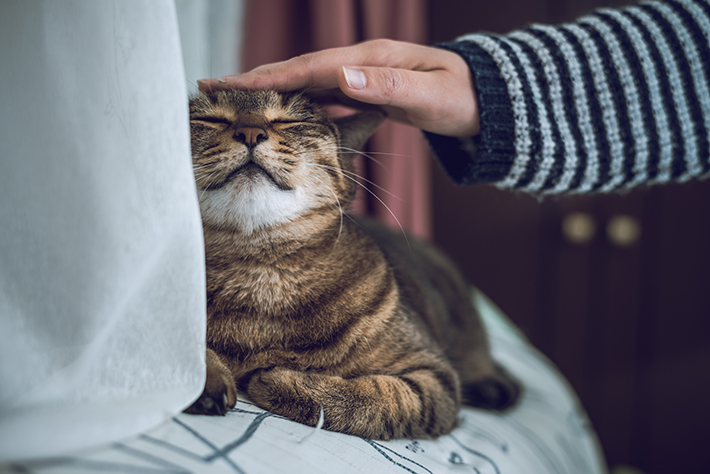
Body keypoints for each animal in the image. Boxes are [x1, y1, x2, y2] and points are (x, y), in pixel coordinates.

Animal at [182, 90, 524, 440]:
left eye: (291, 120)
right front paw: (206, 375)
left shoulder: (434, 376)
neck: (259, 275)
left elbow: (375, 400)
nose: (250, 132)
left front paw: (280, 380)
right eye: (210, 118)